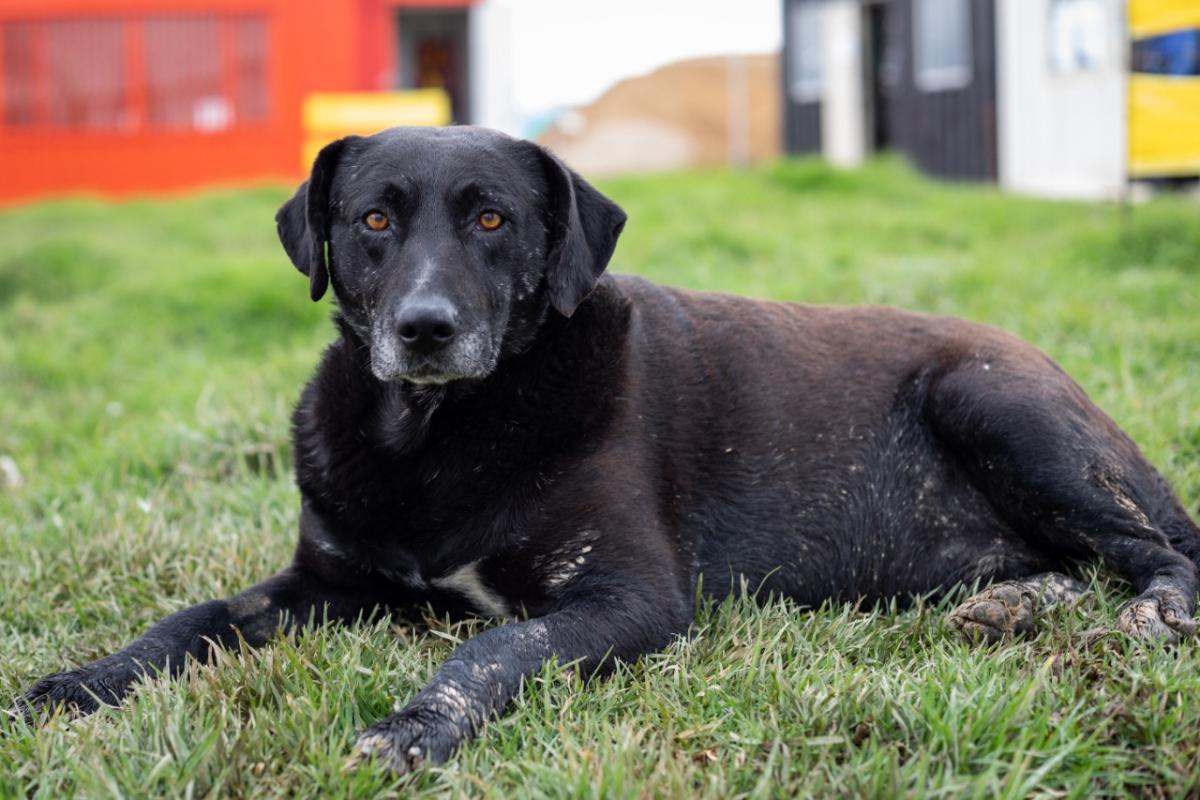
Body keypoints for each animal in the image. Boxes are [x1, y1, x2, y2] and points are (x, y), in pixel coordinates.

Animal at [18, 128, 1200, 772]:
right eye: (372, 220)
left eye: (493, 219)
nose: (427, 328)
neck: (439, 433)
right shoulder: (324, 581)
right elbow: (191, 620)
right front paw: (79, 684)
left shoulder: (626, 597)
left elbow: (490, 648)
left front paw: (413, 725)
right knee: (1072, 562)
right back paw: (1014, 604)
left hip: (995, 404)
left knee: (1158, 551)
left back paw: (1146, 613)